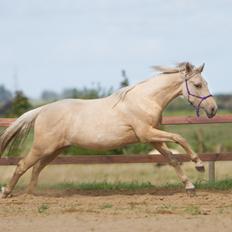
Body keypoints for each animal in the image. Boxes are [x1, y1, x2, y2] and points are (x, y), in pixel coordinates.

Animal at [0, 62, 218, 198]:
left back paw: (31, 194)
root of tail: (42, 110)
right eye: (197, 84)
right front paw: (199, 165)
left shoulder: (152, 138)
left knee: (36, 167)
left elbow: (172, 159)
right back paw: (7, 193)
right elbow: (179, 137)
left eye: (205, 83)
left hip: (55, 149)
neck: (145, 100)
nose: (213, 109)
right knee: (22, 165)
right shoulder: (146, 133)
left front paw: (190, 187)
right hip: (42, 147)